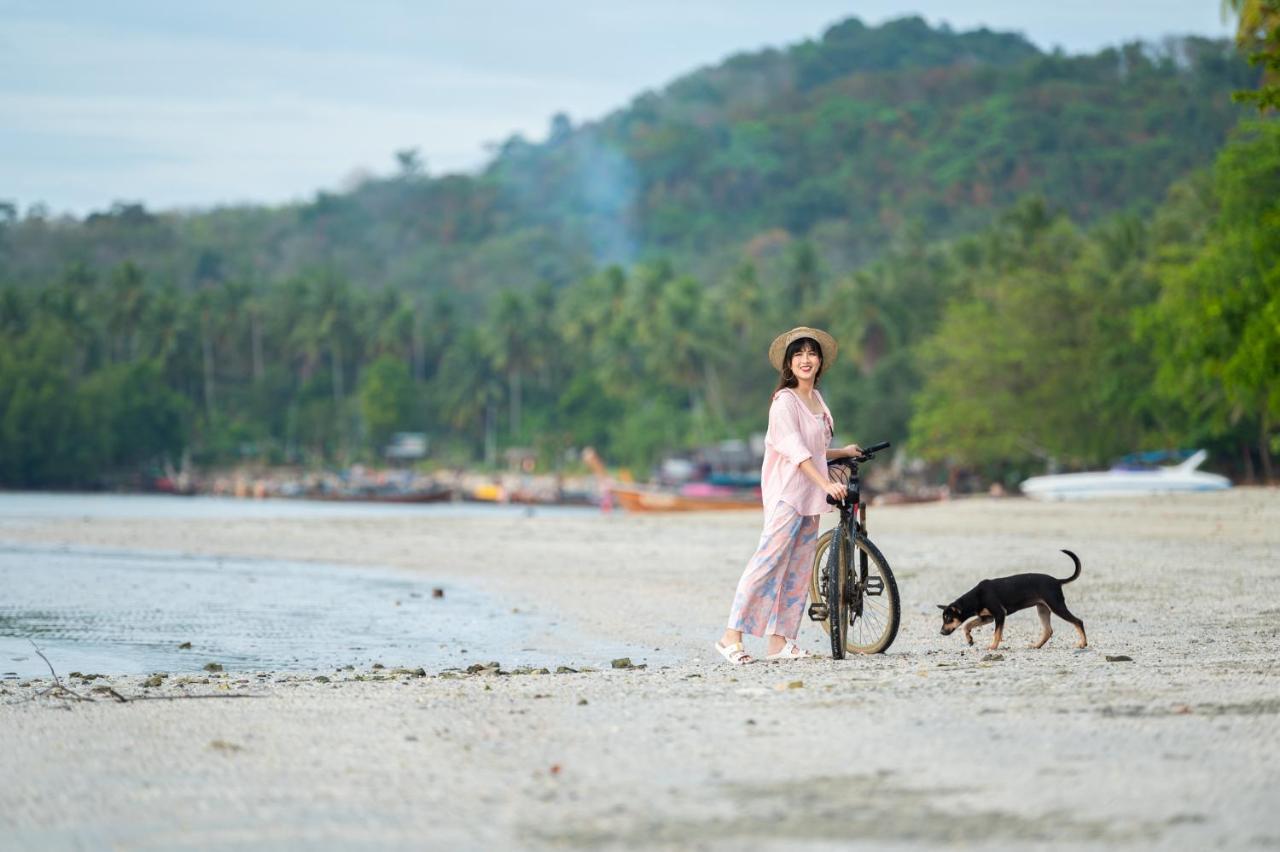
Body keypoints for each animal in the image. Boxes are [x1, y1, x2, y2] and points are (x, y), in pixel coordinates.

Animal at [936, 547, 1085, 647]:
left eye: (948, 618)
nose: (941, 633)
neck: (976, 597)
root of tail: (1057, 581)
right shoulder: (987, 617)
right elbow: (966, 625)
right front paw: (970, 639)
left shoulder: (1000, 614)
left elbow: (997, 634)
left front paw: (992, 647)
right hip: (1042, 609)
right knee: (1048, 630)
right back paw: (1036, 645)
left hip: (1056, 605)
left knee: (1078, 621)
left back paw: (1083, 643)